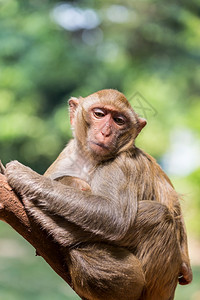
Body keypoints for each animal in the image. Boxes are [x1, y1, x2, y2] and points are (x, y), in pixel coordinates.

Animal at [1, 89, 192, 300]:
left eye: (119, 120)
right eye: (99, 114)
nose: (106, 132)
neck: (89, 160)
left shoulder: (122, 163)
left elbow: (114, 215)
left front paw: (23, 175)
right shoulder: (64, 159)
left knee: (158, 216)